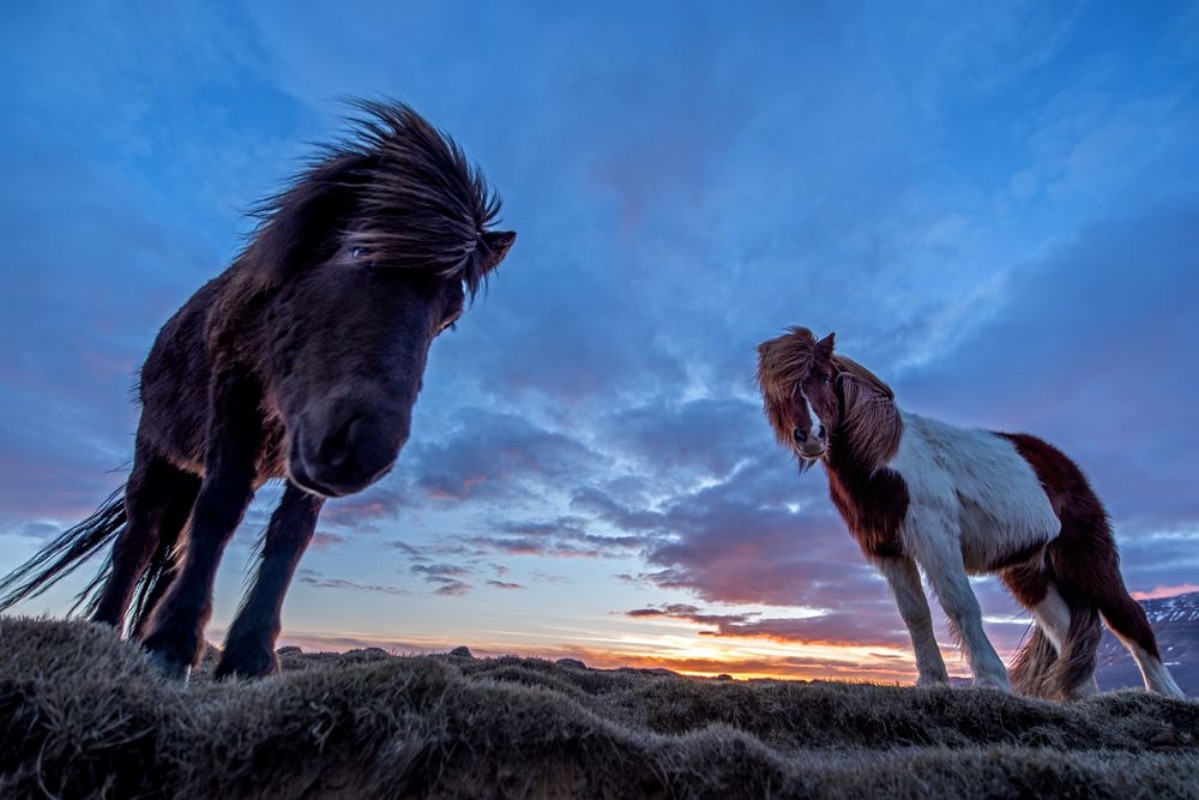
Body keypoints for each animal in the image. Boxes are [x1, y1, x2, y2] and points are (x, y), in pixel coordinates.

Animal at [0, 101, 516, 683]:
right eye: (359, 250)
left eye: (448, 317)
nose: (365, 451)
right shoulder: (236, 393)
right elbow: (221, 506)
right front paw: (172, 642)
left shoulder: (307, 437)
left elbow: (291, 534)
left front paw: (248, 655)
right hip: (156, 454)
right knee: (139, 537)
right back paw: (106, 631)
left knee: (169, 547)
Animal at [756, 327, 1183, 700]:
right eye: (778, 392)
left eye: (827, 377)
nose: (811, 437)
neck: (884, 459)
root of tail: (1063, 465)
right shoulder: (887, 549)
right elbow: (914, 614)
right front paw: (931, 680)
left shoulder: (934, 535)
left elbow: (959, 604)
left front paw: (991, 680)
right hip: (1033, 574)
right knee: (1066, 633)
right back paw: (1080, 697)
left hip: (1085, 557)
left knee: (1128, 617)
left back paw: (1166, 695)